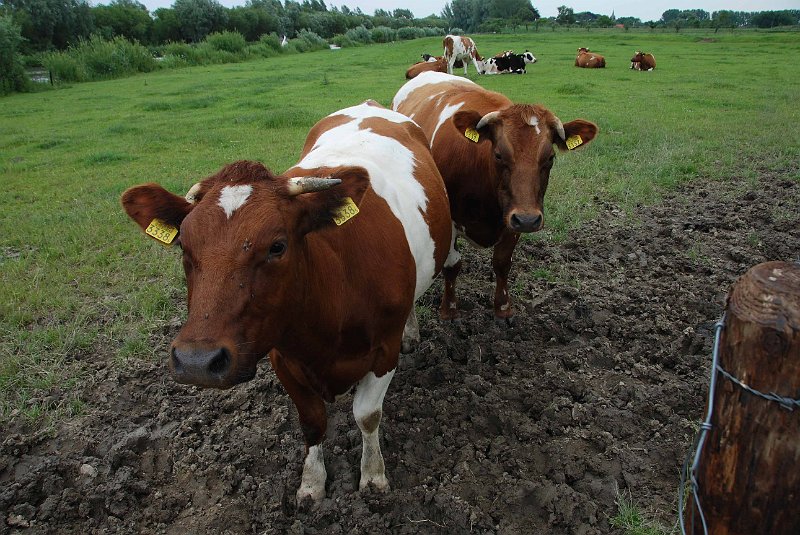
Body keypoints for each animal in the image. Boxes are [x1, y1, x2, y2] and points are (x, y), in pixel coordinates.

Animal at [122, 102, 454, 504]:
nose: (197, 361)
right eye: (184, 246)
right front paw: (311, 484)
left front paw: (373, 477)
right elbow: (312, 422)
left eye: (277, 246)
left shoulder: (384, 350)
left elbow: (367, 415)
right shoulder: (282, 355)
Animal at [390, 71, 596, 322]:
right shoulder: (450, 220)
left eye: (550, 158)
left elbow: (502, 263)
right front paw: (449, 309)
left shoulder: (513, 216)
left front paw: (503, 307)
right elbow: (452, 265)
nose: (528, 220)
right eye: (498, 154)